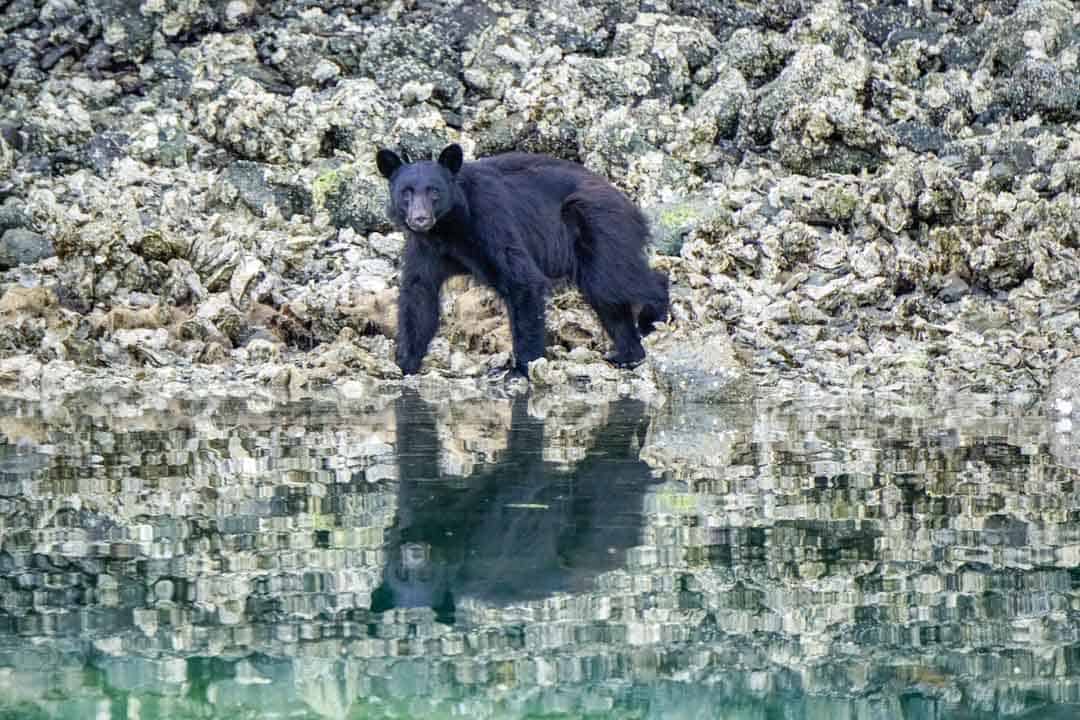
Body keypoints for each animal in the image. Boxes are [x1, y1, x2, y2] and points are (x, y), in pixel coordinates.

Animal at [375, 142, 669, 377]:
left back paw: (653, 315)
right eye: (406, 192)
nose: (420, 219)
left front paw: (522, 367)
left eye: (434, 191)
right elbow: (418, 295)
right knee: (607, 299)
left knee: (614, 280)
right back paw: (627, 354)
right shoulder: (426, 248)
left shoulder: (490, 221)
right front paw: (404, 363)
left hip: (599, 225)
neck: (449, 228)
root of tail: (629, 204)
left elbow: (522, 281)